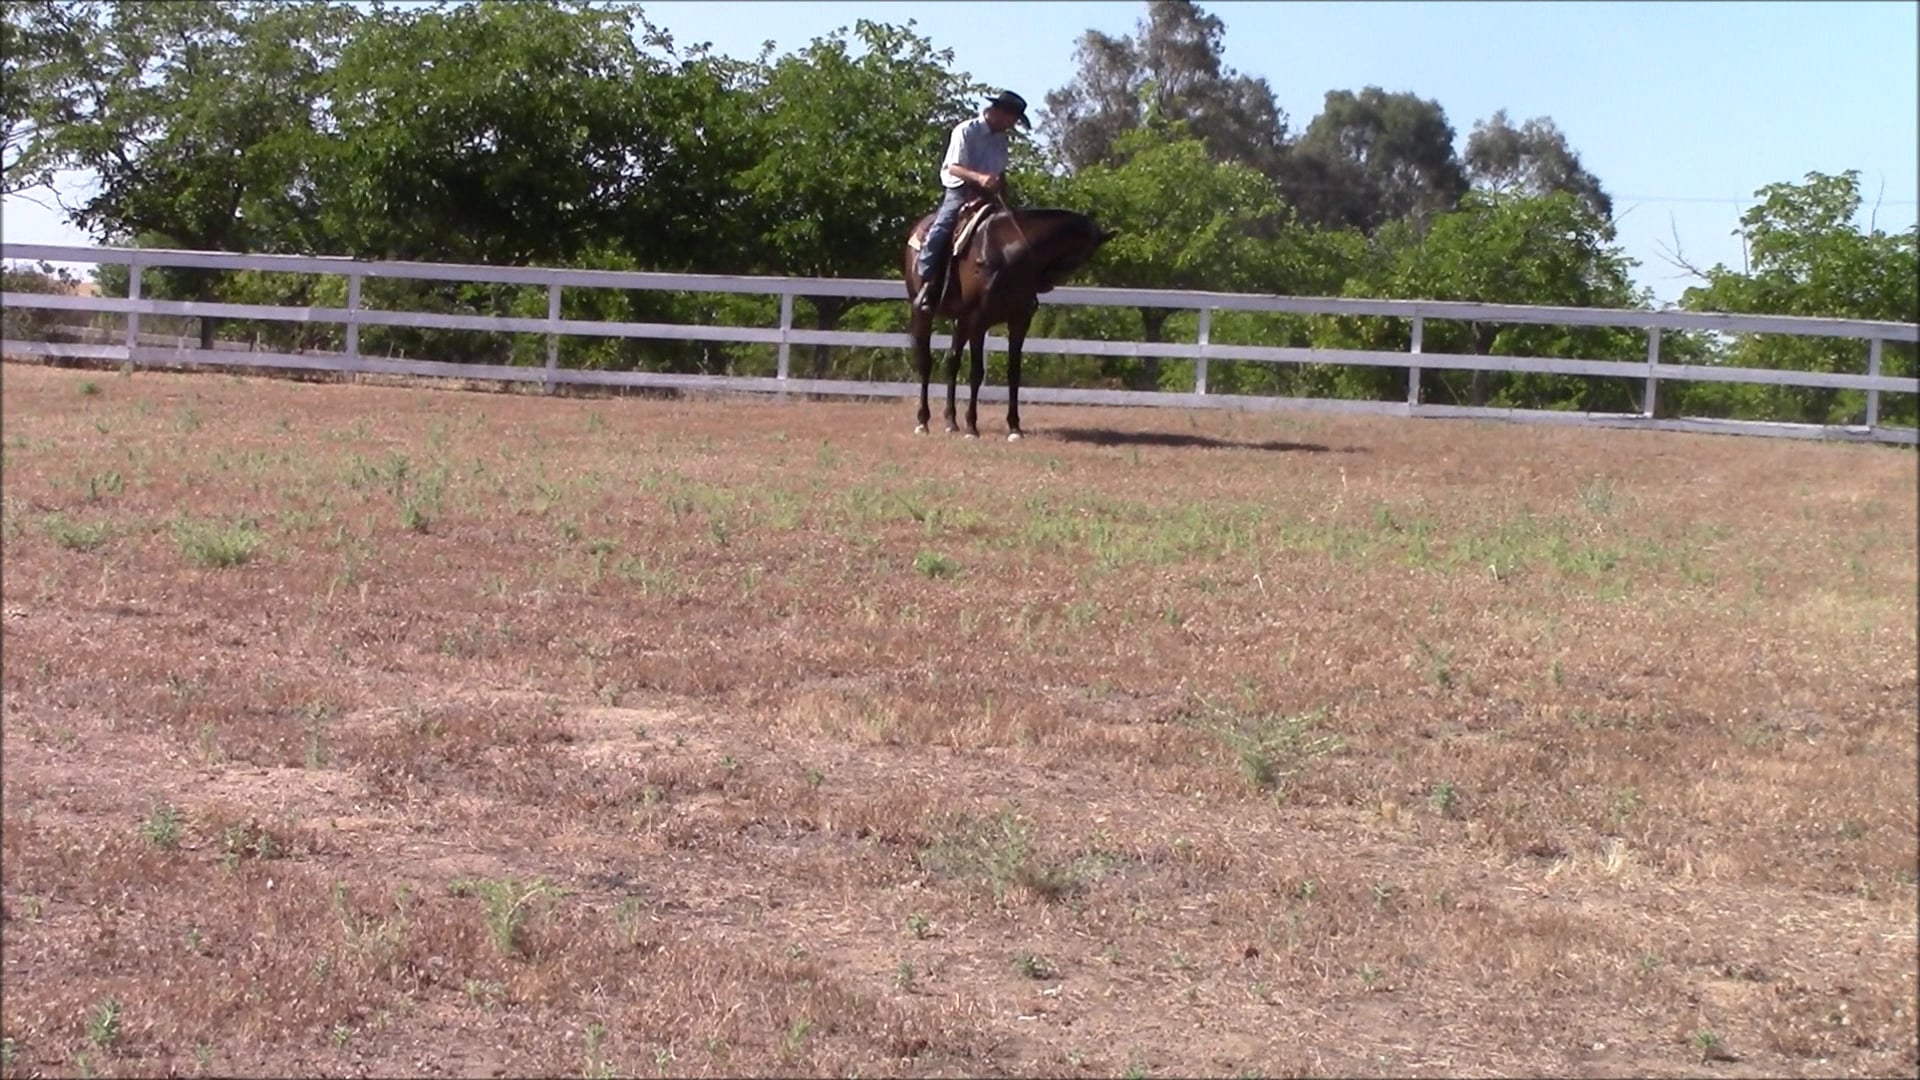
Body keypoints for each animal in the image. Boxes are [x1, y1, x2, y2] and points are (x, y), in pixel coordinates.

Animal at [903, 201, 1115, 440]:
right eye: (1080, 254)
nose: (1045, 283)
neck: (1007, 254)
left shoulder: (1019, 322)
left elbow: (1014, 373)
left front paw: (1014, 427)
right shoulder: (978, 321)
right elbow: (976, 373)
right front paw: (972, 427)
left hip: (960, 321)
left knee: (952, 362)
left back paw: (951, 422)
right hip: (924, 313)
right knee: (925, 362)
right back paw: (923, 421)